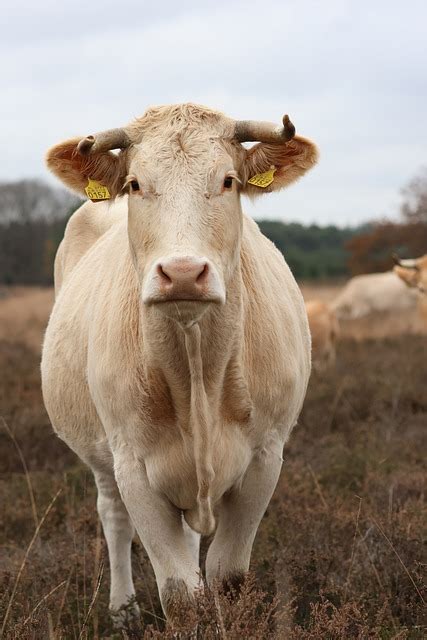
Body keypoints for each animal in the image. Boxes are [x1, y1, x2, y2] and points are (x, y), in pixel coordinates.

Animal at [41, 102, 320, 624]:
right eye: (134, 184)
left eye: (228, 180)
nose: (184, 273)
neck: (198, 372)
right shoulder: (133, 466)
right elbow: (179, 593)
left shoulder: (265, 458)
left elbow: (227, 577)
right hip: (102, 456)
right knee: (113, 519)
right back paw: (123, 609)